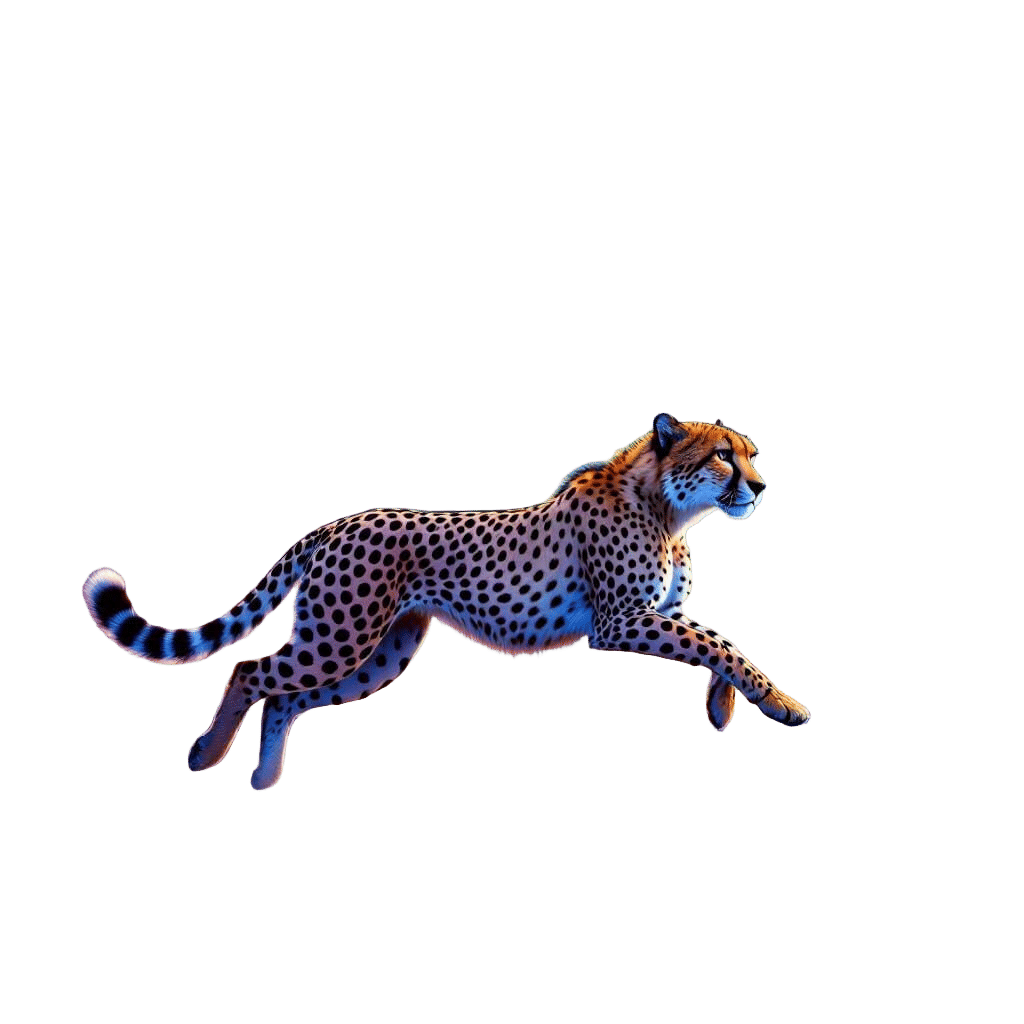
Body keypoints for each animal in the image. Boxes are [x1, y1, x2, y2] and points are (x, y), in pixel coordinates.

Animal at [82, 413, 810, 791]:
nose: (760, 486)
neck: (670, 509)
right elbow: (721, 641)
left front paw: (724, 707)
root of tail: (337, 522)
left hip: (379, 653)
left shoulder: (653, 614)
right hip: (339, 638)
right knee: (250, 670)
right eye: (723, 456)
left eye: (752, 454)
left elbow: (716, 641)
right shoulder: (621, 621)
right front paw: (784, 705)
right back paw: (207, 754)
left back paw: (264, 779)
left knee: (284, 696)